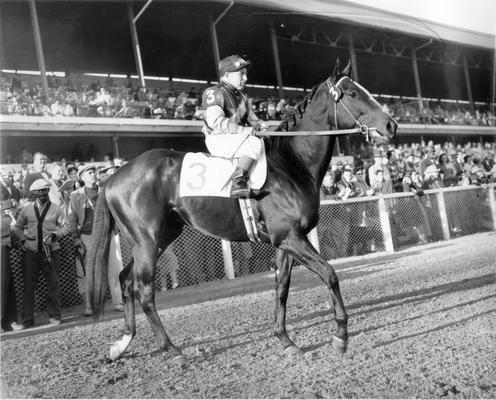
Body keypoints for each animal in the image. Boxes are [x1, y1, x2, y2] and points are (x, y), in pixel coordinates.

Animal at [85, 57, 396, 364]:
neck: (290, 165)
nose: (391, 125)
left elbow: (282, 286)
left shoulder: (285, 241)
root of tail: (114, 176)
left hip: (158, 238)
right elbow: (329, 274)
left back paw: (122, 344)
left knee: (126, 281)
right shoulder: (291, 238)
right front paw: (341, 336)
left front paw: (285, 340)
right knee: (144, 290)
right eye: (353, 93)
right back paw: (172, 349)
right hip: (147, 242)